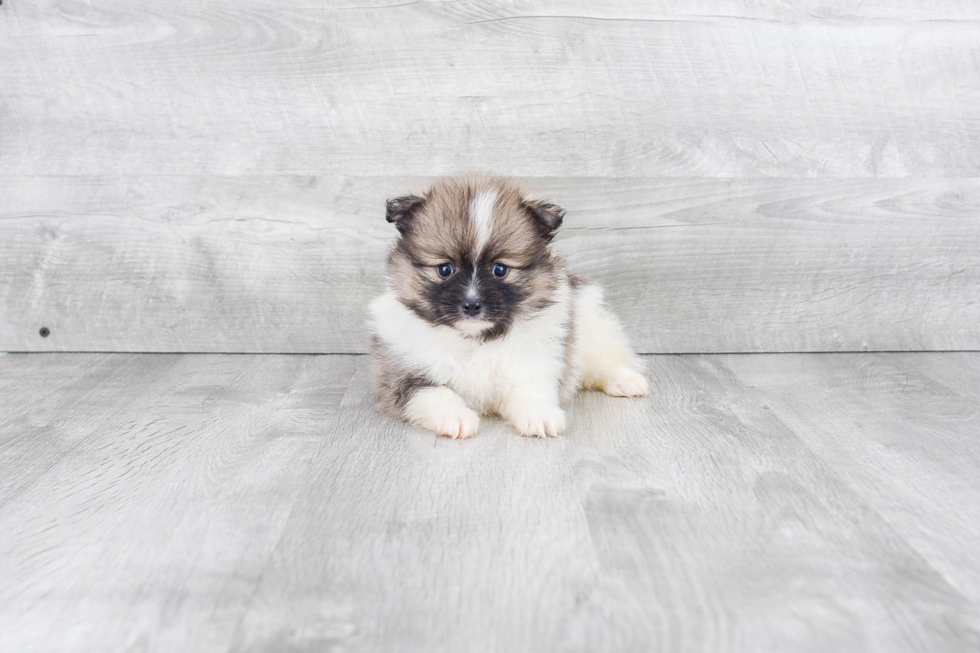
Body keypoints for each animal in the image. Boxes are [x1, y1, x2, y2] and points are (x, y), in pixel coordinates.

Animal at [368, 173, 652, 438]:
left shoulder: (533, 362)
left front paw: (540, 416)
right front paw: (456, 418)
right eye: (445, 269)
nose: (472, 305)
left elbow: (532, 390)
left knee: (606, 360)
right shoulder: (404, 375)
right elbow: (436, 394)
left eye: (500, 269)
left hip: (591, 326)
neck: (474, 341)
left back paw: (626, 381)